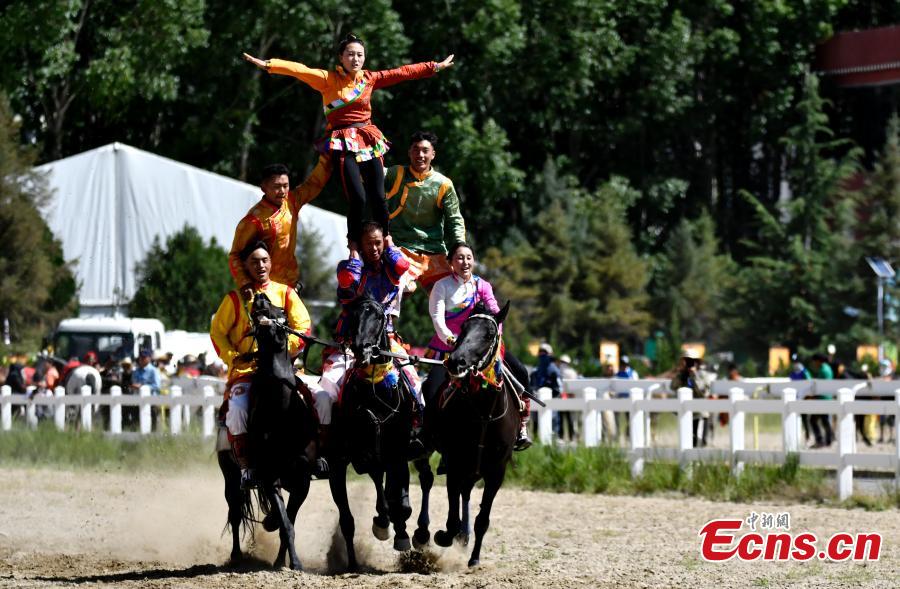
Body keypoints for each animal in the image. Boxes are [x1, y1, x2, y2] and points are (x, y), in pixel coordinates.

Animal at [217, 292, 318, 570]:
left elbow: (288, 522)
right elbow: (285, 523)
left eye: (281, 310)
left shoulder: (302, 479)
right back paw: (236, 556)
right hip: (230, 475)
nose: (260, 297)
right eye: (255, 313)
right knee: (235, 512)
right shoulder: (270, 476)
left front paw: (284, 560)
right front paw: (293, 562)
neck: (281, 412)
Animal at [327, 291, 416, 571]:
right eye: (353, 315)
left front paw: (400, 534)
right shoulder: (350, 458)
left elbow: (398, 499)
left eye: (378, 316)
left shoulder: (397, 453)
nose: (362, 348)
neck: (377, 392)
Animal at [432, 300, 520, 567]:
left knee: (467, 494)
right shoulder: (454, 462)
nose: (456, 362)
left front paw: (474, 558)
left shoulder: (496, 472)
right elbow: (451, 517)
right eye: (463, 329)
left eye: (489, 334)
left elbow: (483, 519)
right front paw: (445, 536)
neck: (484, 414)